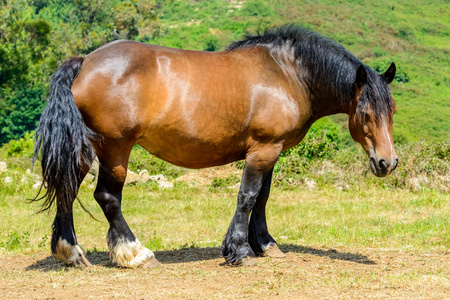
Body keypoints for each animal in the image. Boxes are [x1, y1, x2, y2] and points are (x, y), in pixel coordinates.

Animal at [31, 25, 398, 268]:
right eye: (365, 113)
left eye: (391, 110)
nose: (387, 163)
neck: (286, 74)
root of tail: (84, 62)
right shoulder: (263, 150)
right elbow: (248, 197)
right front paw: (240, 251)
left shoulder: (270, 152)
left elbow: (262, 198)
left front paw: (265, 244)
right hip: (116, 148)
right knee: (107, 197)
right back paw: (136, 253)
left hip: (85, 148)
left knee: (66, 189)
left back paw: (71, 253)